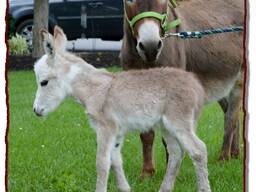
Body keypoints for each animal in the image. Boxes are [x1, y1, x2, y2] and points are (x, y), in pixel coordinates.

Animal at [33, 25, 211, 192]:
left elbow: (102, 163)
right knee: (176, 153)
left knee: (198, 150)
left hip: (179, 121)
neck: (93, 89)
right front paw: (125, 188)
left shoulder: (105, 128)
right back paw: (164, 189)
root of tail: (196, 86)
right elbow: (116, 160)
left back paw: (203, 188)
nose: (36, 111)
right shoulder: (117, 132)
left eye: (43, 82)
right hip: (166, 126)